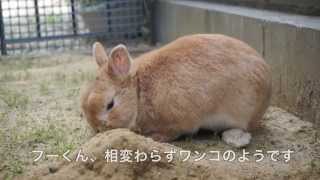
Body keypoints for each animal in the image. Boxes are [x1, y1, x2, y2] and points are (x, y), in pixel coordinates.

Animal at [81, 34, 272, 148]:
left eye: (110, 105)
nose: (98, 129)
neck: (139, 91)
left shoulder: (179, 120)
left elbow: (174, 132)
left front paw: (155, 138)